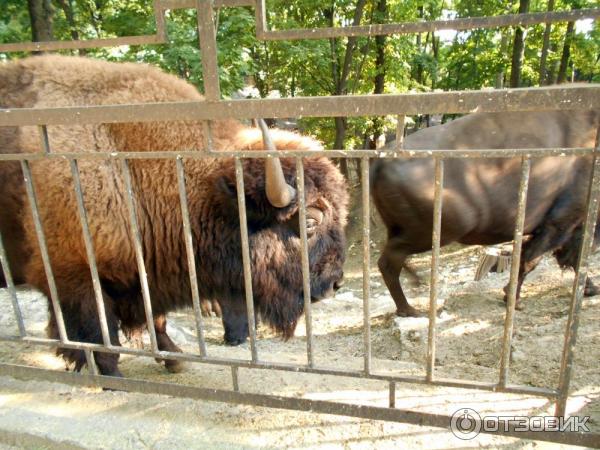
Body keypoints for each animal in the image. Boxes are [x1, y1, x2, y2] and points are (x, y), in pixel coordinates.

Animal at [0, 55, 350, 376]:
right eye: (309, 222)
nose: (335, 283)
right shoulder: (75, 278)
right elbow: (101, 339)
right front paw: (109, 375)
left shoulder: (144, 274)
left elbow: (155, 320)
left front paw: (174, 358)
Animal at [372, 109, 596, 316]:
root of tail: (382, 160)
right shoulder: (560, 224)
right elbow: (533, 260)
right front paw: (513, 299)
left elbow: (571, 258)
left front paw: (590, 288)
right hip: (441, 230)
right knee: (389, 261)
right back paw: (409, 308)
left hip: (403, 229)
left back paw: (413, 292)